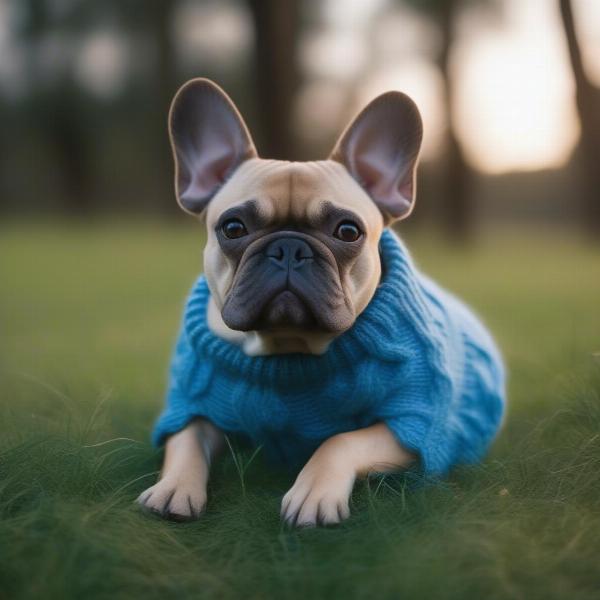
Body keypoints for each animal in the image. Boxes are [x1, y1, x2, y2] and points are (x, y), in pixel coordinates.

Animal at [137, 78, 506, 524]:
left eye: (347, 231)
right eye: (233, 227)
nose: (289, 248)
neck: (287, 348)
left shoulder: (412, 422)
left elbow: (341, 441)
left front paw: (313, 492)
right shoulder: (194, 402)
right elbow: (186, 439)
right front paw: (173, 487)